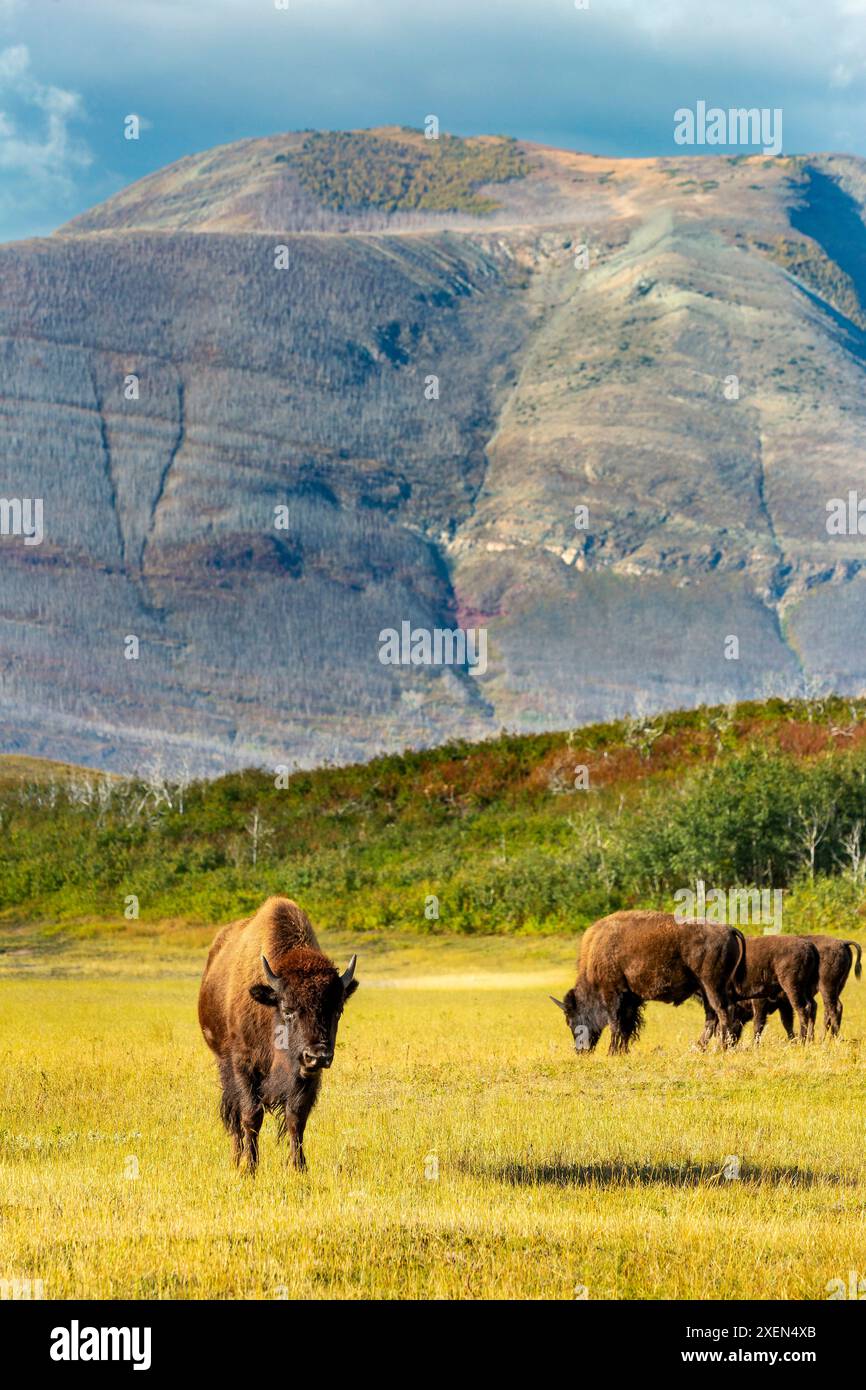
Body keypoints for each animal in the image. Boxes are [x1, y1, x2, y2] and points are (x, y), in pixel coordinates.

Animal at [198, 895, 359, 1173]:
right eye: (288, 1009)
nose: (317, 1055)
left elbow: (296, 1118)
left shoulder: (306, 1077)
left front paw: (299, 1168)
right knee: (233, 1114)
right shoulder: (244, 1065)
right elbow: (251, 1115)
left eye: (338, 1009)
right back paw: (236, 1158)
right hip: (223, 1061)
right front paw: (249, 1169)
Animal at [550, 910, 746, 1053]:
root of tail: (729, 929)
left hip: (711, 986)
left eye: (570, 1020)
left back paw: (721, 1048)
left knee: (723, 1012)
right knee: (712, 1017)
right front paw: (622, 1051)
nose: (580, 1050)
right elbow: (626, 1025)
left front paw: (612, 1052)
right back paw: (699, 1048)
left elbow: (616, 1024)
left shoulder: (613, 994)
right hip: (705, 990)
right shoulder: (630, 998)